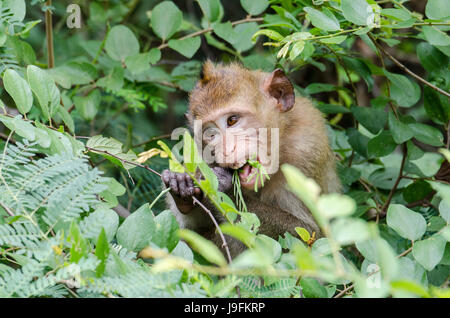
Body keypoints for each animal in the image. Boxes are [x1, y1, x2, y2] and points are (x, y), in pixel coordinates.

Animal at [162, 60, 342, 258]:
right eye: (210, 133)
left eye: (232, 120)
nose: (225, 150)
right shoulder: (203, 156)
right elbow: (191, 233)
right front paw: (181, 185)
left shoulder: (307, 152)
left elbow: (309, 234)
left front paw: (226, 189)